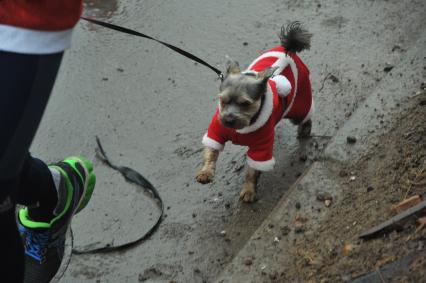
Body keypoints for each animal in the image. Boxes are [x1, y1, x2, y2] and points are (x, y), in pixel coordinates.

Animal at [196, 22, 312, 204]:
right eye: (223, 101)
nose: (228, 120)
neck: (243, 127)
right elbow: (211, 151)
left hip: (300, 102)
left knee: (306, 116)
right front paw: (206, 172)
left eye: (245, 104)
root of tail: (288, 49)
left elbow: (252, 171)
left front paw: (249, 190)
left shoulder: (261, 147)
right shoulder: (215, 132)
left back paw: (305, 131)